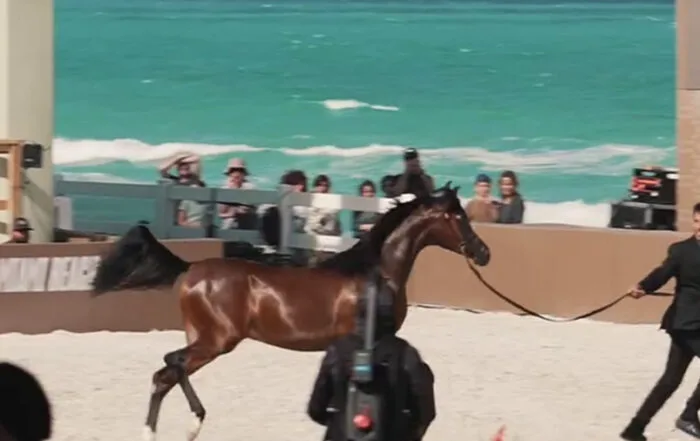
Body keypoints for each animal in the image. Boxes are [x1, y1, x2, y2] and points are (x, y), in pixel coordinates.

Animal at [90, 182, 490, 441]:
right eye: (456, 216)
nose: (483, 252)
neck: (374, 273)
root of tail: (190, 269)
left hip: (204, 338)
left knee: (164, 375)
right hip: (216, 340)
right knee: (172, 363)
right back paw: (194, 423)